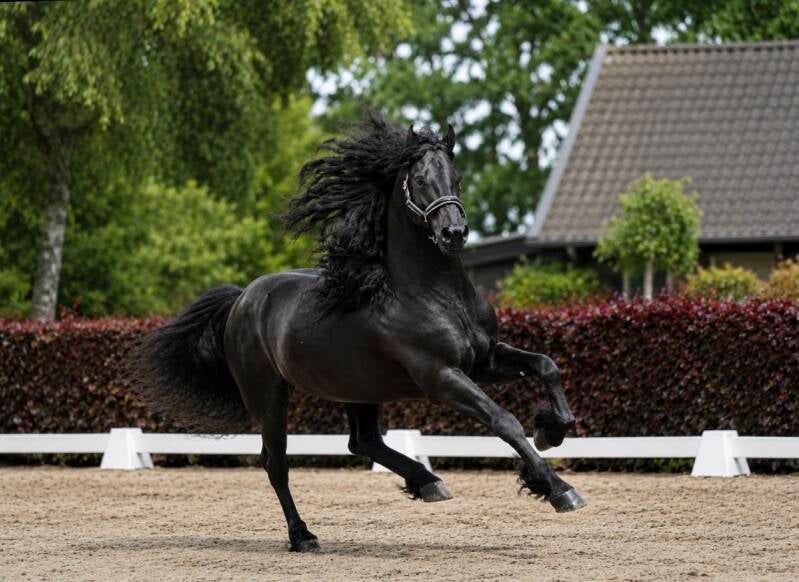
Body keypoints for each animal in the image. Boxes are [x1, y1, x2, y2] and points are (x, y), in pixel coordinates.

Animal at [134, 113, 586, 553]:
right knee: (276, 462)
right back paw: (303, 536)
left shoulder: (485, 360)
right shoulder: (441, 376)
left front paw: (551, 431)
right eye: (418, 180)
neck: (434, 294)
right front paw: (559, 489)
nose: (453, 233)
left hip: (359, 388)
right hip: (271, 395)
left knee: (363, 442)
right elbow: (504, 421)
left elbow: (546, 366)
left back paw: (427, 482)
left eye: (456, 177)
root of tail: (243, 297)